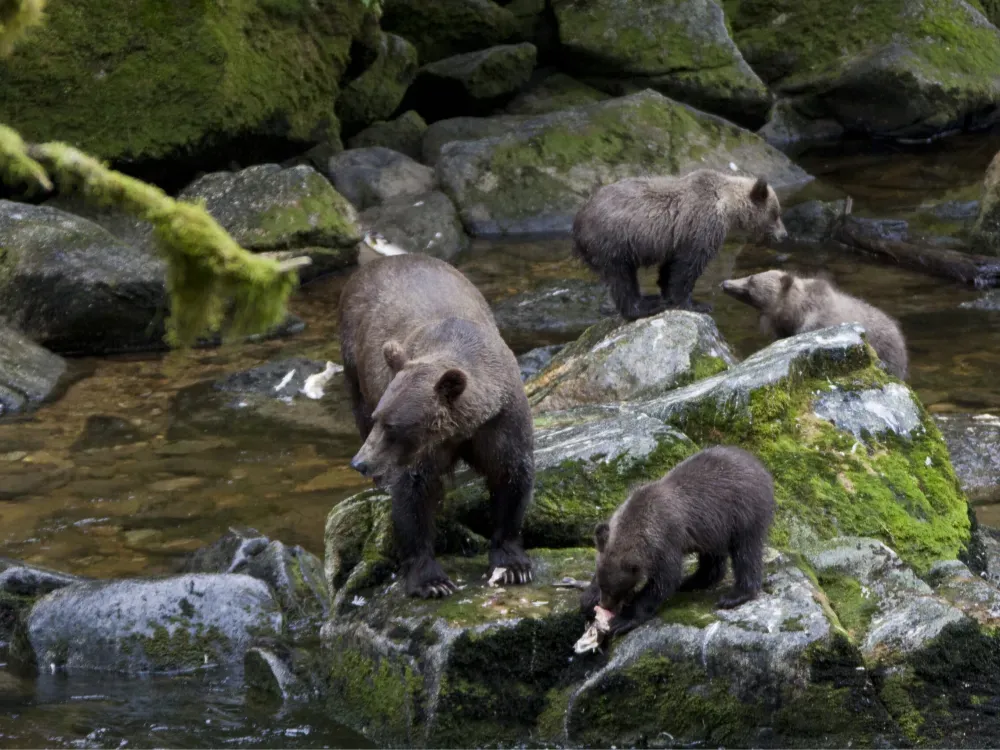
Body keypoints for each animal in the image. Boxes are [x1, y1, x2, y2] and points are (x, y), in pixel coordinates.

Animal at [339, 253, 534, 599]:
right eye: (380, 419)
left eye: (392, 426)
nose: (360, 462)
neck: (463, 427)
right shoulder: (424, 450)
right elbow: (413, 495)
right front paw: (431, 580)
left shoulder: (501, 421)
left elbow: (511, 476)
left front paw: (512, 564)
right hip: (354, 362)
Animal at [572, 169, 788, 321]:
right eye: (776, 213)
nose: (784, 235)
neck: (726, 205)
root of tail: (578, 220)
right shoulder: (701, 226)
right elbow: (688, 268)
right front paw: (697, 304)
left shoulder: (677, 239)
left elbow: (671, 267)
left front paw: (667, 293)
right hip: (614, 243)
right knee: (621, 279)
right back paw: (643, 306)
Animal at [580, 446, 775, 636]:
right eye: (603, 585)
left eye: (615, 590)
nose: (604, 604)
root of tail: (760, 466)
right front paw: (588, 599)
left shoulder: (667, 541)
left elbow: (664, 581)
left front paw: (623, 620)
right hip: (714, 528)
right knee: (712, 558)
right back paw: (693, 581)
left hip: (743, 513)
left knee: (746, 553)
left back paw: (735, 595)